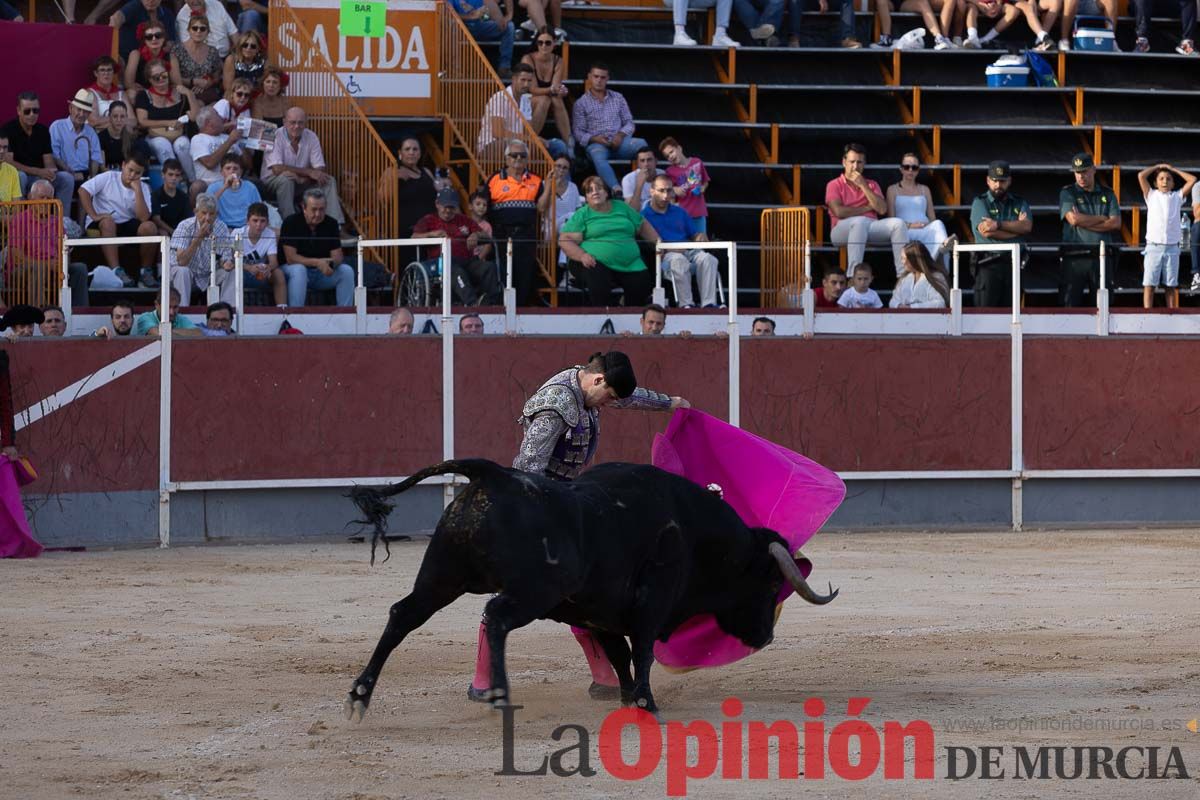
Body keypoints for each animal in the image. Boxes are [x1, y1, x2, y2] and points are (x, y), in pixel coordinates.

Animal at [343, 460, 840, 724]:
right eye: (772, 582)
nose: (765, 636)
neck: (695, 532)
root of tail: (492, 475)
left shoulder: (599, 613)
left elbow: (619, 655)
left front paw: (624, 697)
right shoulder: (651, 602)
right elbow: (642, 651)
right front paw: (645, 702)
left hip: (441, 576)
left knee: (402, 615)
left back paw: (359, 696)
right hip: (533, 590)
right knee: (496, 617)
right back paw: (499, 695)